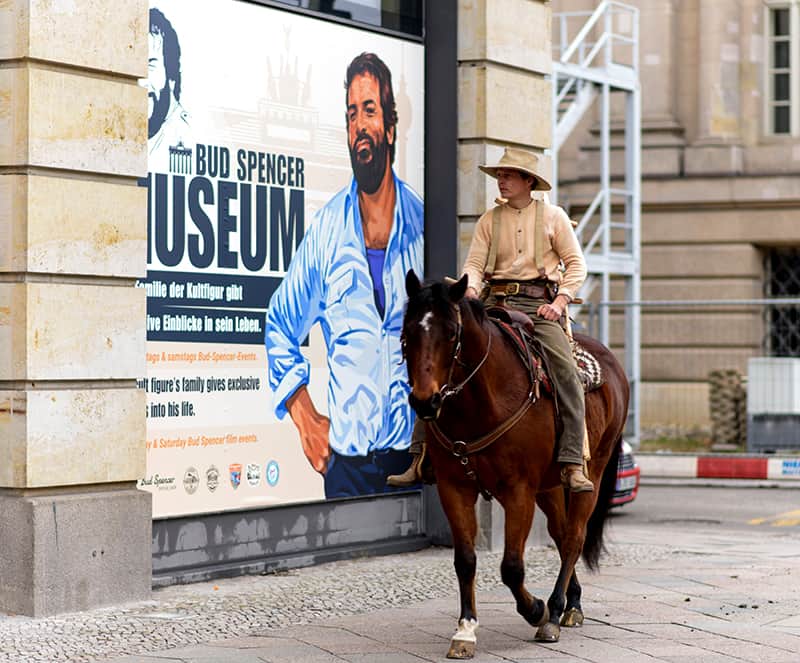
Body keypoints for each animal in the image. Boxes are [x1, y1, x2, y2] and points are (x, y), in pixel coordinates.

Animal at [404, 272, 628, 660]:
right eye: (406, 332)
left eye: (451, 332)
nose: (424, 401)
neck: (480, 402)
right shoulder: (454, 488)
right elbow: (465, 559)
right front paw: (465, 630)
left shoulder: (518, 490)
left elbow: (511, 566)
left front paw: (536, 610)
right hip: (550, 486)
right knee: (560, 533)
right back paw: (572, 604)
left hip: (591, 475)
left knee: (574, 537)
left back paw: (554, 612)